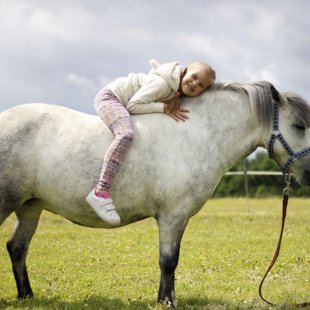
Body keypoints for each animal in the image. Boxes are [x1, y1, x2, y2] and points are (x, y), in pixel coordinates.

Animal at [1, 80, 310, 308]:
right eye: (299, 125)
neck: (196, 133)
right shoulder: (173, 215)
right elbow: (168, 261)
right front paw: (165, 301)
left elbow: (171, 261)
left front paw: (168, 298)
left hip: (30, 206)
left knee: (17, 247)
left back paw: (27, 296)